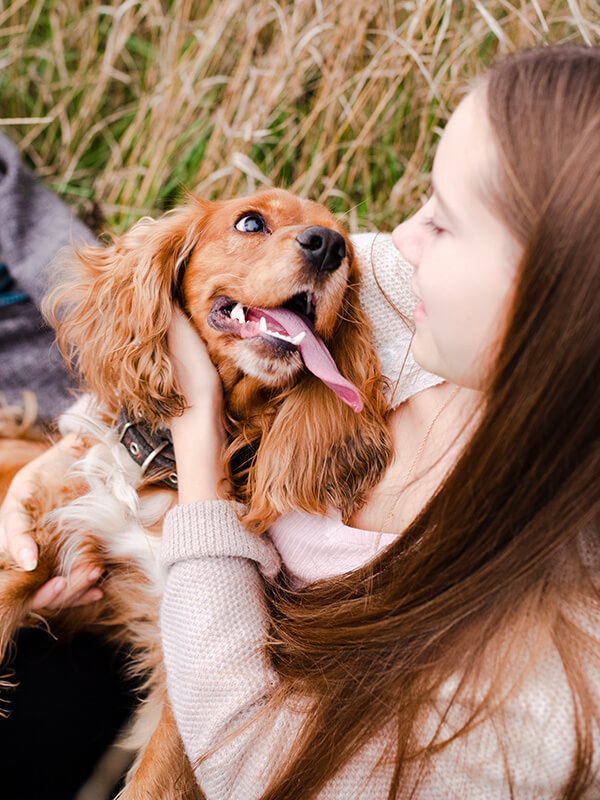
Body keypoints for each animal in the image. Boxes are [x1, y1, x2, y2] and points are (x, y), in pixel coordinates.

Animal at [0, 189, 392, 800]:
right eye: (251, 222)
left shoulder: (190, 662)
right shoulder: (49, 531)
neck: (173, 470)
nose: (328, 246)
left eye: (346, 251)